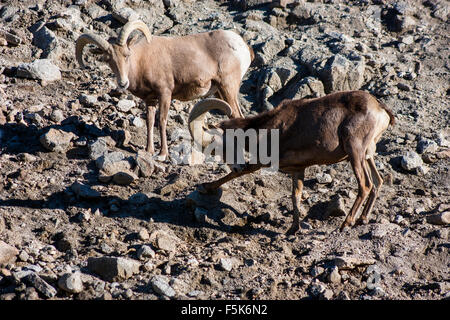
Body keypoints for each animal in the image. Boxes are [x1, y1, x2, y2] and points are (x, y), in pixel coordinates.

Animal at [76, 20, 253, 159]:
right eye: (108, 60)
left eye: (127, 55)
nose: (123, 83)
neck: (142, 61)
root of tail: (242, 46)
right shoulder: (150, 100)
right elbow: (149, 122)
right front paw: (148, 151)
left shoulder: (165, 93)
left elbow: (161, 121)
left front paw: (162, 154)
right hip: (220, 92)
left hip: (228, 87)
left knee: (237, 115)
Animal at [188, 91, 396, 234]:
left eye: (219, 147)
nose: (236, 164)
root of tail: (380, 110)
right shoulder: (298, 170)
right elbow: (295, 196)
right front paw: (293, 229)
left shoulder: (266, 162)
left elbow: (244, 171)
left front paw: (205, 187)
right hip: (367, 156)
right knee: (377, 182)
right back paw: (363, 220)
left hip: (355, 152)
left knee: (365, 185)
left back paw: (346, 224)